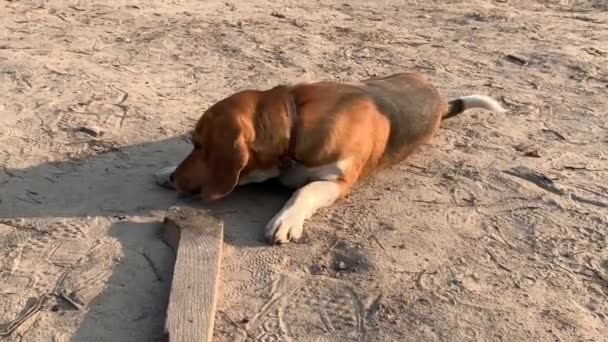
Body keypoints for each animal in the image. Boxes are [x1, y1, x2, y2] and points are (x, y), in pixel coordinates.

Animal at [156, 71, 504, 243]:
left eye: (199, 144)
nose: (174, 177)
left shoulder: (339, 181)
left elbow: (304, 191)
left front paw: (286, 220)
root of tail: (440, 99)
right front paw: (166, 169)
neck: (296, 122)